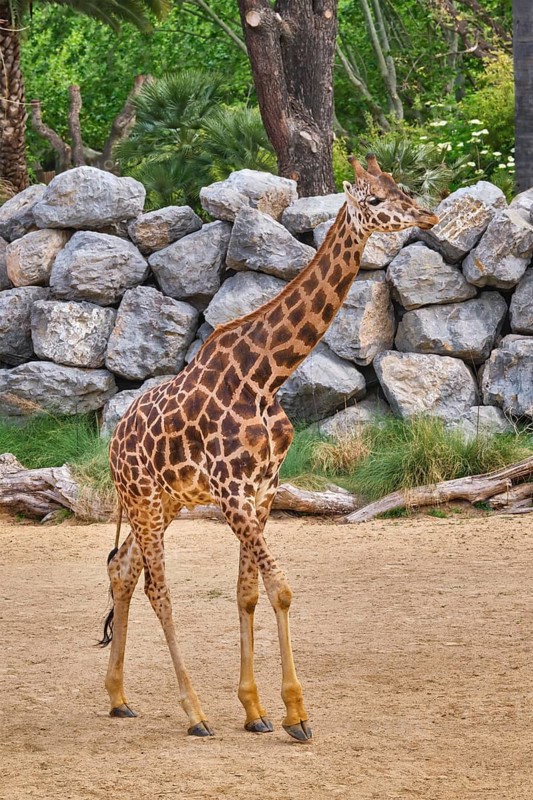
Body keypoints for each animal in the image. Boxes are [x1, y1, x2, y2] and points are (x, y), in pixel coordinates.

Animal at [101, 155, 438, 741]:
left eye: (401, 187)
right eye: (373, 199)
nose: (429, 216)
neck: (265, 378)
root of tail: (115, 440)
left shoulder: (261, 491)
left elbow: (250, 592)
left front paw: (255, 710)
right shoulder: (234, 492)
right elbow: (280, 589)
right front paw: (295, 714)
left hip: (165, 503)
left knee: (123, 570)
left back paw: (119, 698)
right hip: (142, 498)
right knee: (156, 590)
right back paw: (194, 713)